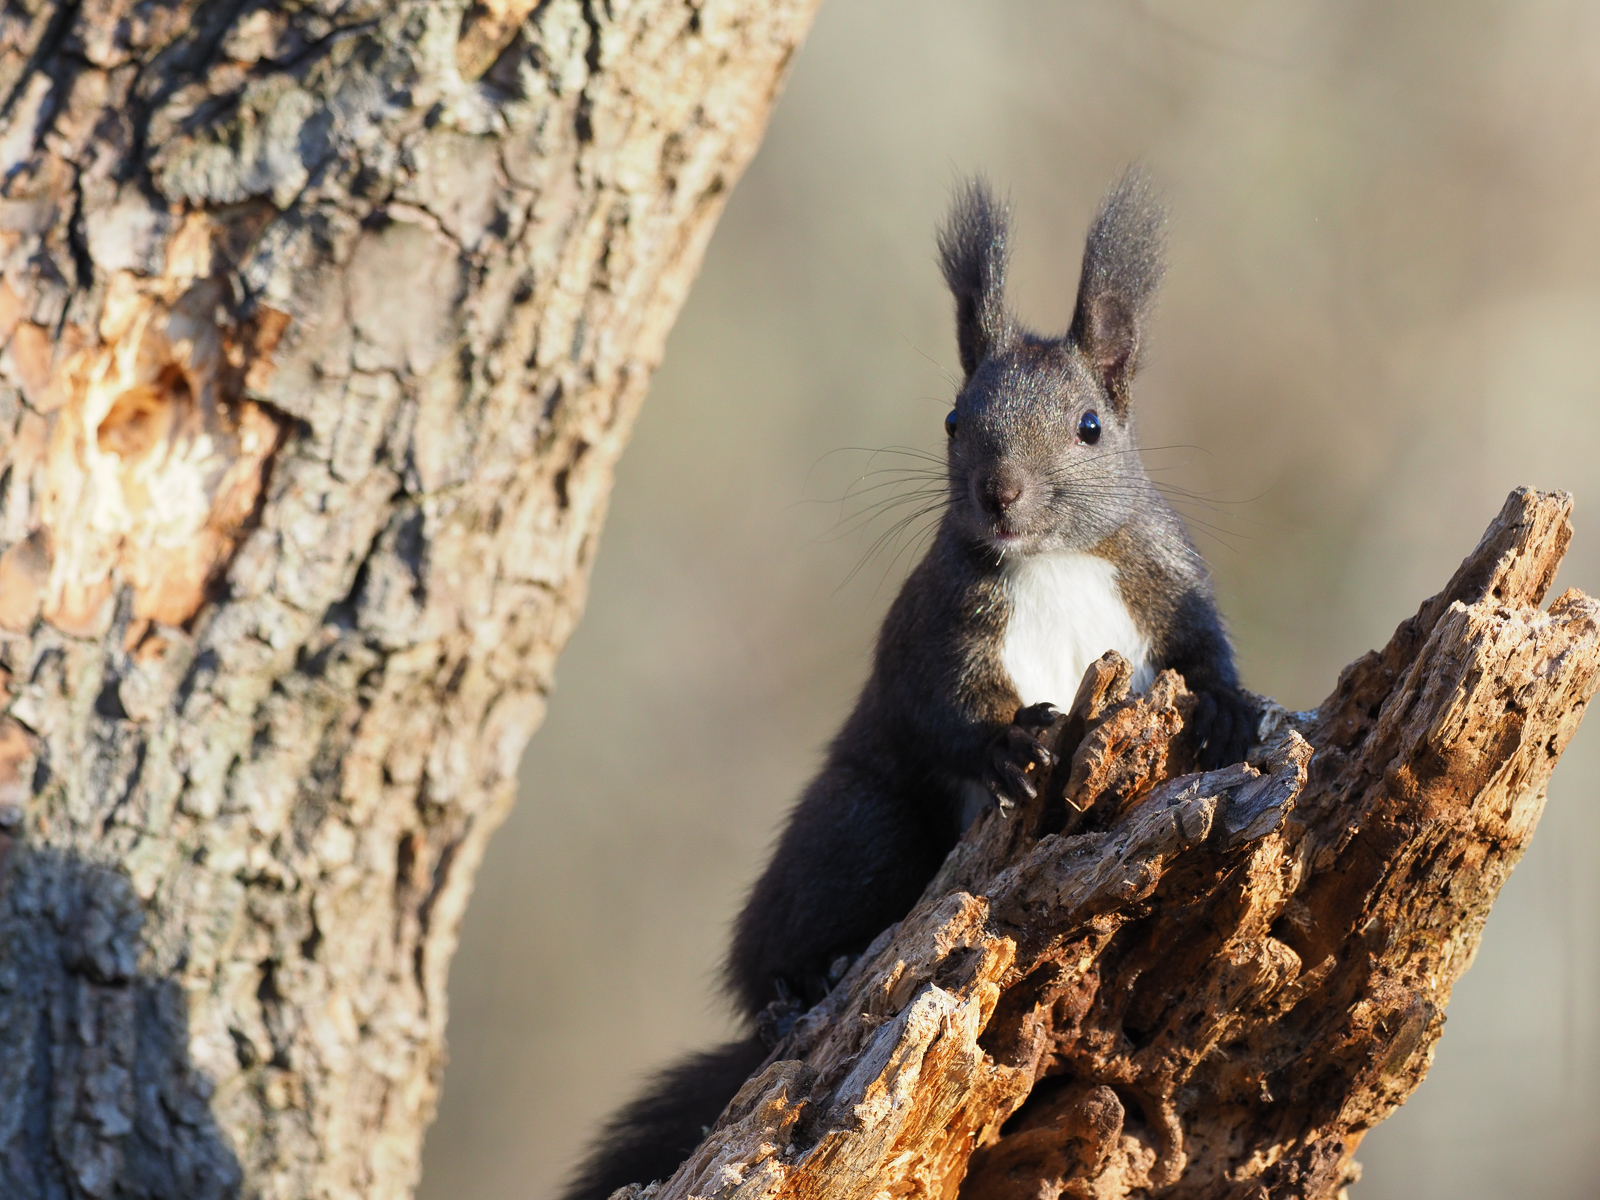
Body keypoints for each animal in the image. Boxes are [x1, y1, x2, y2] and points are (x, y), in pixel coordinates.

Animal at [561, 171, 1259, 1200]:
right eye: (954, 422)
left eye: (1091, 427)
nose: (1000, 495)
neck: (1050, 559)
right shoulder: (934, 626)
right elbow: (936, 711)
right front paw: (1011, 744)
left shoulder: (1166, 584)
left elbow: (1204, 649)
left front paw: (1226, 708)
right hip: (864, 827)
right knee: (773, 955)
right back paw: (801, 990)